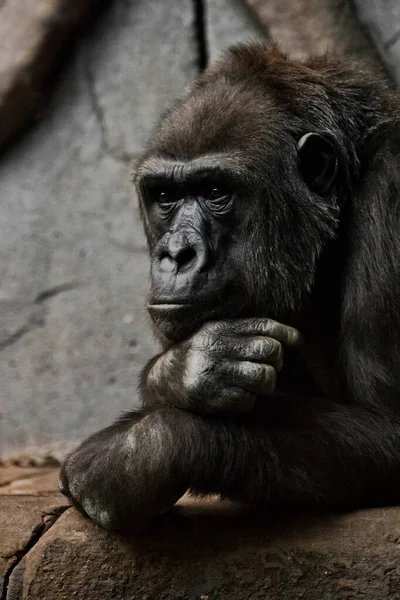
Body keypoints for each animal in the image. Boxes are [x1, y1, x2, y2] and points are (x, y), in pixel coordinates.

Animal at [59, 42, 400, 528]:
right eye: (165, 196)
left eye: (217, 192)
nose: (176, 254)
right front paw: (184, 370)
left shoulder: (391, 192)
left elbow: (388, 431)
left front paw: (141, 452)